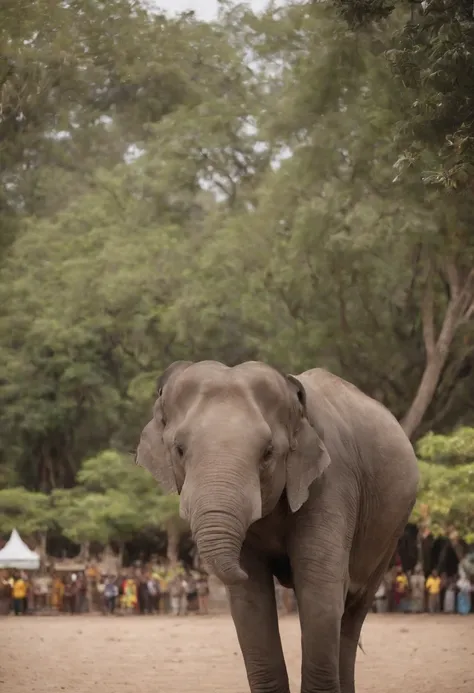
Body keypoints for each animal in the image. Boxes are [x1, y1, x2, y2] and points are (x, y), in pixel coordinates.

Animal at [136, 360, 418, 688]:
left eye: (268, 452)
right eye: (179, 449)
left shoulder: (334, 481)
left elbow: (320, 590)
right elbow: (250, 603)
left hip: (391, 530)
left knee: (353, 613)